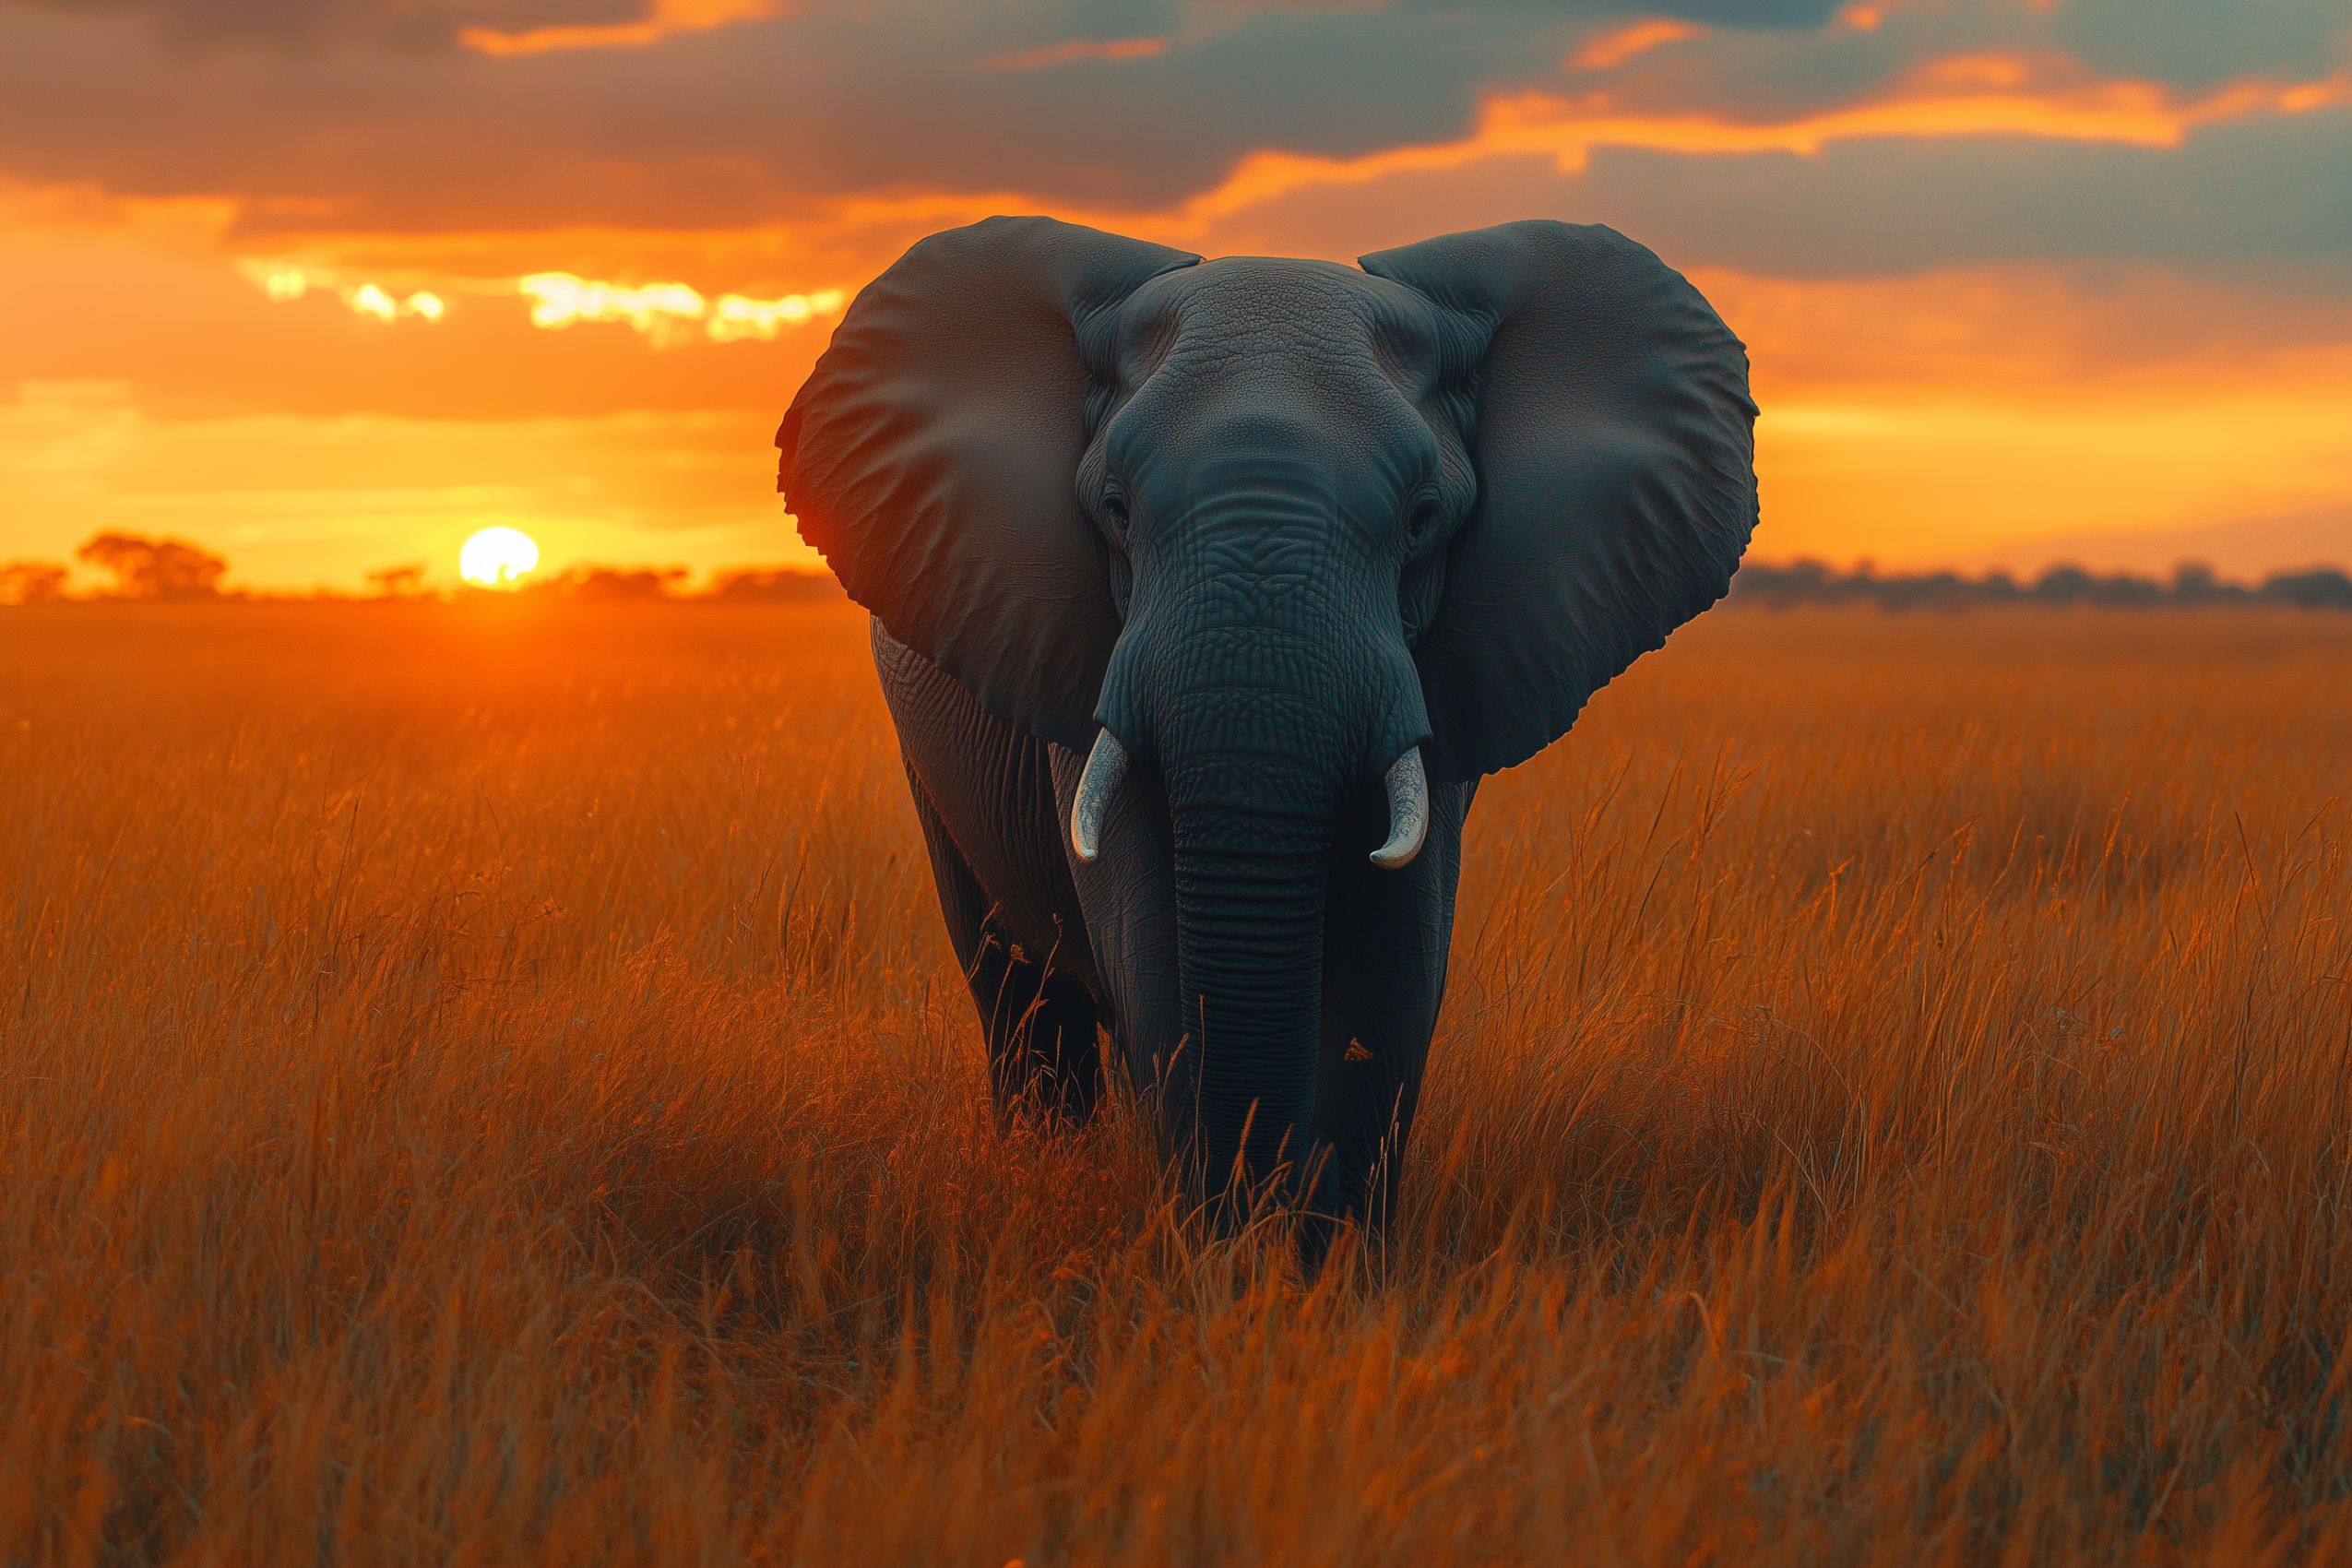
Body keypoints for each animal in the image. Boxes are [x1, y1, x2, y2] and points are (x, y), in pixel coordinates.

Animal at [776, 215, 1757, 1245]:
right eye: (1114, 510)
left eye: (1424, 521)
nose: (1275, 1204)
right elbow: (1154, 958)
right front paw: (1226, 1257)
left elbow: (1397, 970)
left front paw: (1327, 1263)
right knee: (1015, 992)